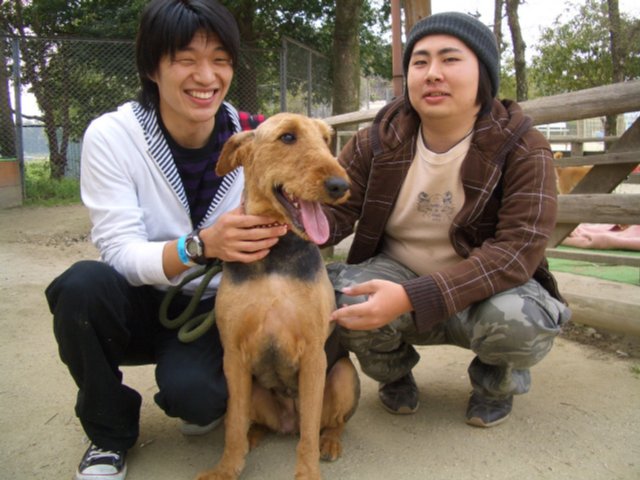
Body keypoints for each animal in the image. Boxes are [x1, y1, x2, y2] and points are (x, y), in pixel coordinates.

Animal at [196, 113, 360, 480]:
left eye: (326, 138)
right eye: (287, 137)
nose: (340, 186)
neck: (274, 251)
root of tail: (288, 423)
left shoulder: (313, 355)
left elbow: (309, 435)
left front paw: (308, 472)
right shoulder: (233, 355)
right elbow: (232, 425)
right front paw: (225, 468)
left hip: (343, 375)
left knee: (329, 424)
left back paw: (331, 442)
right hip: (253, 387)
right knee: (251, 421)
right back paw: (253, 437)